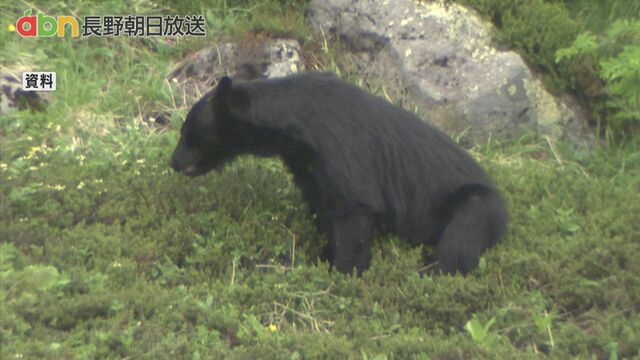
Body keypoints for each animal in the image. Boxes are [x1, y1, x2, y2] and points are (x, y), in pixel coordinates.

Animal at [171, 73, 510, 276]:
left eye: (187, 133)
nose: (173, 162)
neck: (297, 128)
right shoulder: (308, 165)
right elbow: (324, 207)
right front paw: (321, 255)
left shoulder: (340, 146)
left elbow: (354, 207)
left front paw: (344, 271)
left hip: (478, 203)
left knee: (463, 235)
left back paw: (429, 270)